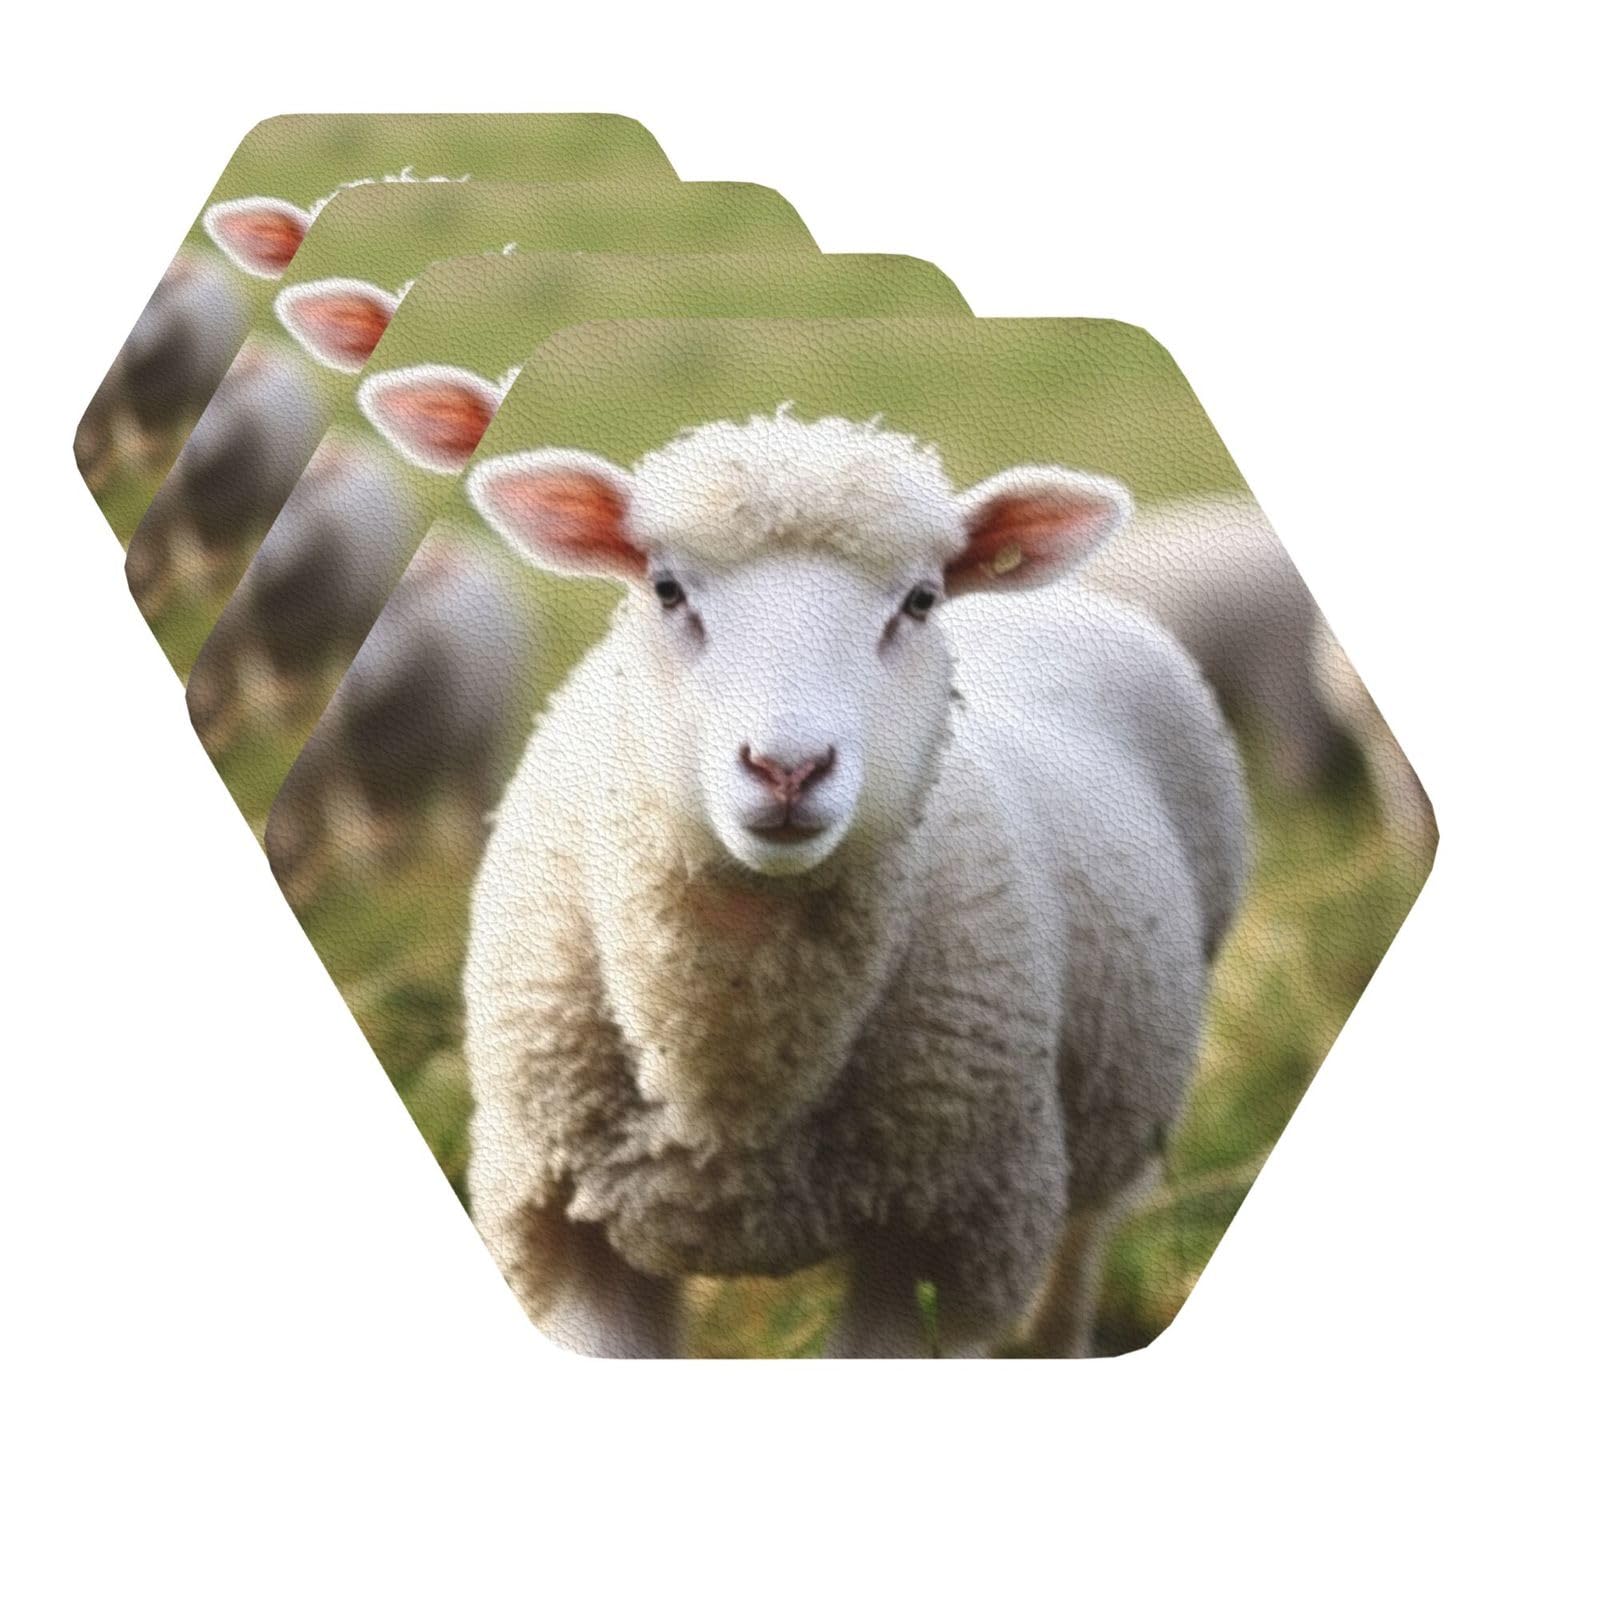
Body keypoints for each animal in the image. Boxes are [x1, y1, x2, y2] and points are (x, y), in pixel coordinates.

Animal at [458, 410, 1249, 1358]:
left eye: (920, 601)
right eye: (666, 590)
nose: (788, 768)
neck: (733, 1094)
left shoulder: (951, 1233)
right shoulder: (560, 1231)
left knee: (1083, 1241)